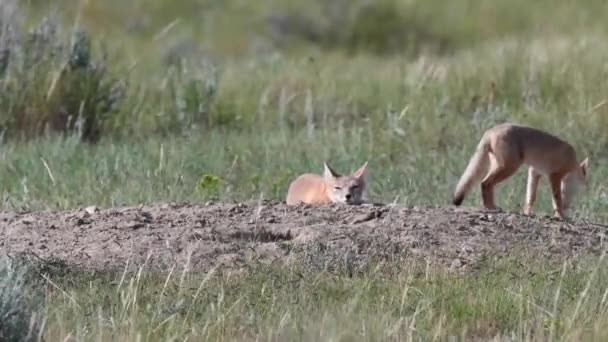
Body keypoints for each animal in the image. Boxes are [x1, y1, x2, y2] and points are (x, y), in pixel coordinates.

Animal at [454, 123, 588, 219]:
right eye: (585, 176)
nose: (587, 184)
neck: (572, 160)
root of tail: (491, 130)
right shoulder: (554, 175)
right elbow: (556, 199)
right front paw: (560, 215)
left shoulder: (534, 171)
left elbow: (530, 196)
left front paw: (527, 212)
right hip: (509, 168)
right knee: (485, 183)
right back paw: (491, 207)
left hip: (497, 166)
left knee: (485, 184)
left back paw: (490, 206)